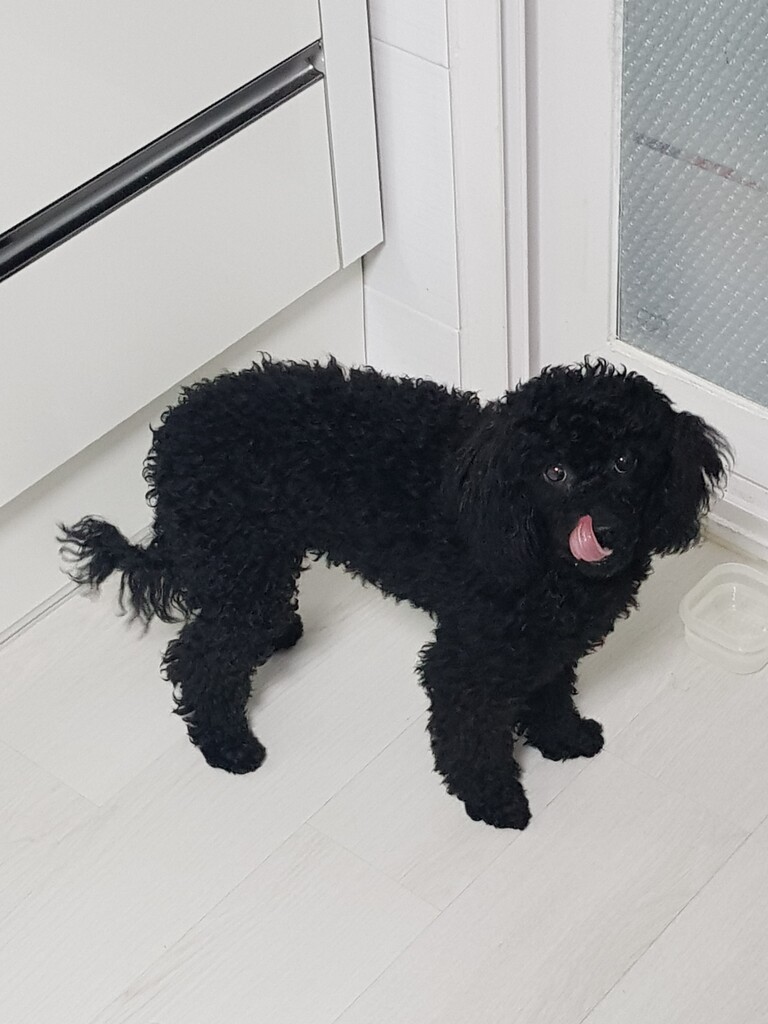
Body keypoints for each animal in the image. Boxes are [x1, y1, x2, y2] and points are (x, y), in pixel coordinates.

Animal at [60, 358, 729, 829]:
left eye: (625, 461)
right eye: (554, 473)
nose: (606, 531)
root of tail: (171, 431)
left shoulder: (546, 642)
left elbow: (551, 694)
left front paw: (563, 740)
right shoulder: (467, 656)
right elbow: (469, 732)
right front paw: (492, 800)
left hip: (257, 559)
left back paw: (278, 637)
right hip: (242, 561)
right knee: (199, 655)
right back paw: (228, 743)